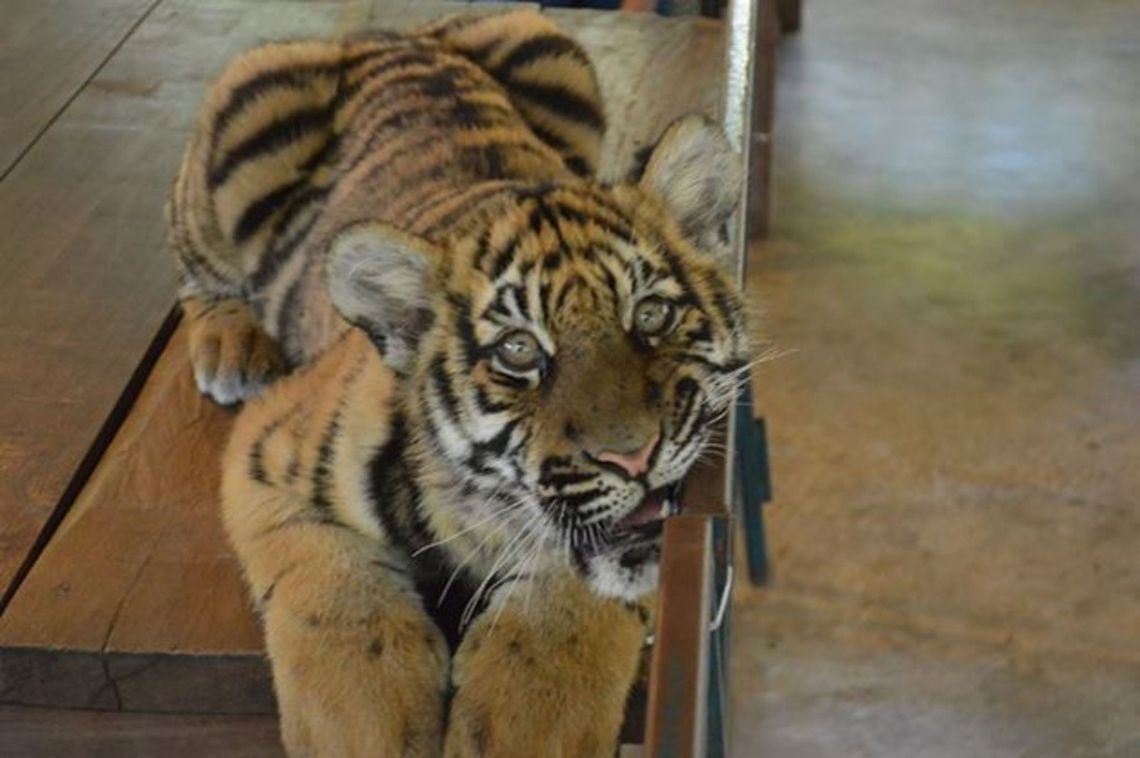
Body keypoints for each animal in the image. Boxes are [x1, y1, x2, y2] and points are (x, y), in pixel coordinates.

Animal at [168, 9, 748, 757]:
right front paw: (367, 727)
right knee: (196, 273)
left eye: (650, 314)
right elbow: (342, 610)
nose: (633, 457)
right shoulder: (268, 452)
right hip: (243, 111)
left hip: (549, 47)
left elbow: (553, 637)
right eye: (518, 351)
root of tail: (390, 35)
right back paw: (230, 345)